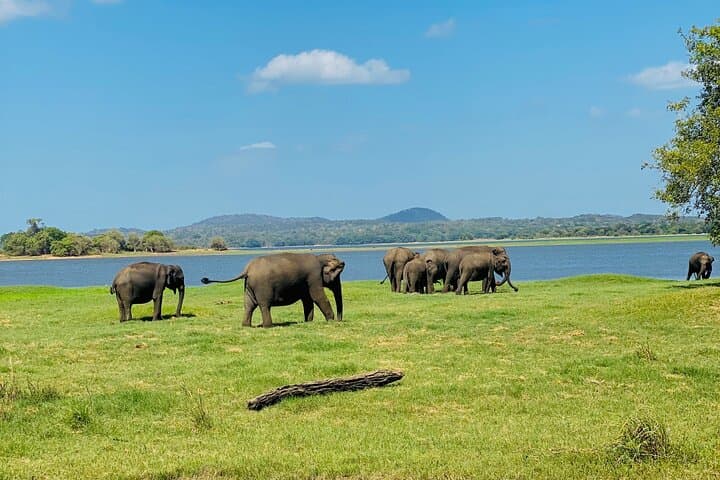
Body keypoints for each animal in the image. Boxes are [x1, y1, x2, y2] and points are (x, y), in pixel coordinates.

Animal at [201, 253, 344, 328]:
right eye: (336, 275)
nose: (339, 320)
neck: (319, 258)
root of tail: (247, 269)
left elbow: (307, 300)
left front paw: (308, 322)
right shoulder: (313, 277)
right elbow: (317, 296)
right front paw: (330, 320)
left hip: (248, 287)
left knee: (249, 305)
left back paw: (246, 325)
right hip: (262, 287)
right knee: (264, 305)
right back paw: (268, 326)